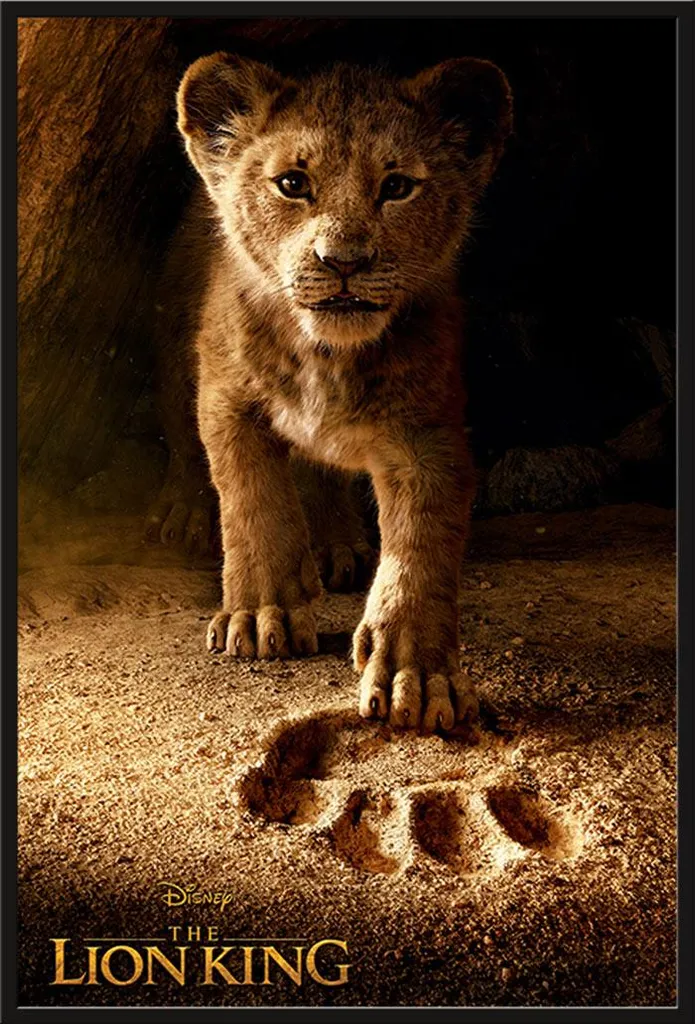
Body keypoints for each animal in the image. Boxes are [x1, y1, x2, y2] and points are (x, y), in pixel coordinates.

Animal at [147, 53, 512, 732]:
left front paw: (417, 674)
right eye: (292, 183)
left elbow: (421, 546)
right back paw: (183, 513)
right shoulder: (227, 398)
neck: (327, 354)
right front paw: (260, 615)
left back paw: (337, 544)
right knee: (186, 447)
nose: (343, 260)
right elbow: (253, 502)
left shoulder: (428, 434)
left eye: (397, 187)